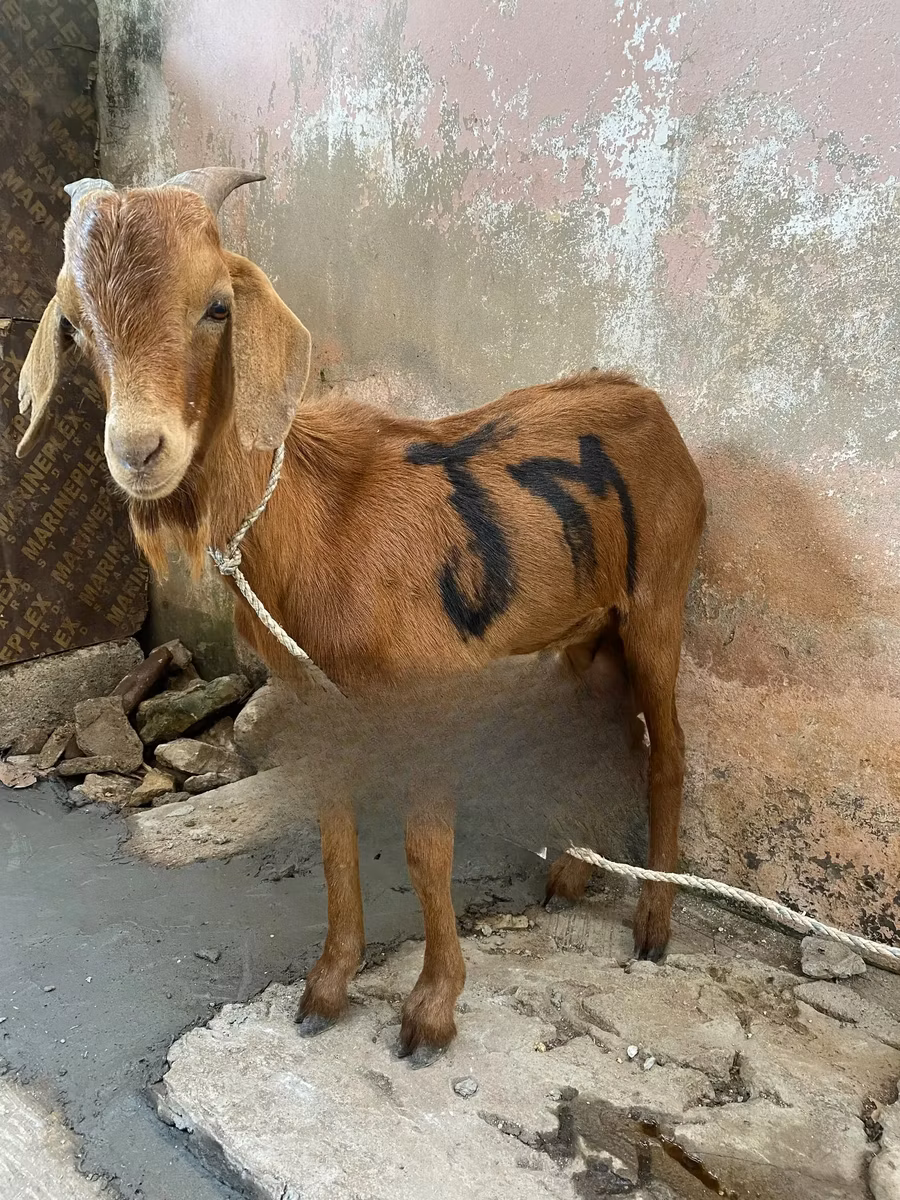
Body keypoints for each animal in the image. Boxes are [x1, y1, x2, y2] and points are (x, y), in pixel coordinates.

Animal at [17, 169, 706, 1065]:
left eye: (216, 306)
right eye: (71, 324)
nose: (139, 453)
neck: (322, 521)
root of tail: (649, 400)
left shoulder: (425, 689)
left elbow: (425, 847)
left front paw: (432, 1010)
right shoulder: (319, 692)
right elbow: (334, 832)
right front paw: (328, 987)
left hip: (659, 597)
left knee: (667, 750)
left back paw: (654, 923)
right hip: (582, 630)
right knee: (608, 732)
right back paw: (572, 875)